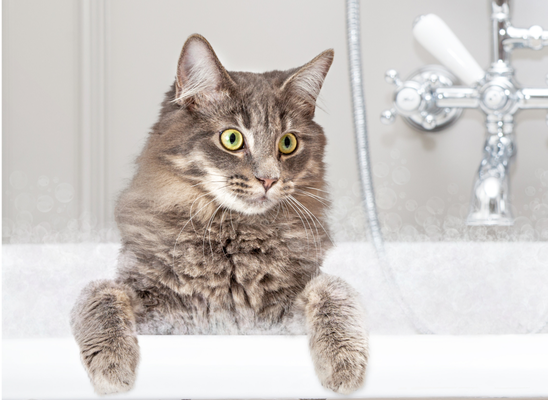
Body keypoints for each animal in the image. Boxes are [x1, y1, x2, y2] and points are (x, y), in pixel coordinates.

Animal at [69, 33, 368, 394]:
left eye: (287, 143)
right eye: (232, 138)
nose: (269, 179)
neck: (232, 236)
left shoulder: (279, 313)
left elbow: (332, 290)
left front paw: (344, 362)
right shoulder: (157, 309)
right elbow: (101, 292)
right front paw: (113, 365)